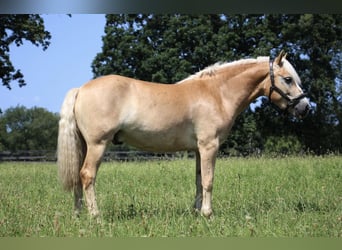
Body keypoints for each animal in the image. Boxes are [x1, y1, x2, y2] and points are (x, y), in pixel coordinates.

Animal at [58, 50, 310, 217]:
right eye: (288, 79)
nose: (305, 107)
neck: (217, 93)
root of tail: (81, 89)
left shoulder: (199, 149)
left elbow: (199, 180)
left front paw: (197, 212)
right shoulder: (210, 145)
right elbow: (209, 180)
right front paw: (208, 214)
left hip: (84, 145)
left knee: (78, 177)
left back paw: (78, 214)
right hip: (98, 144)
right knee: (87, 175)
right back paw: (95, 216)